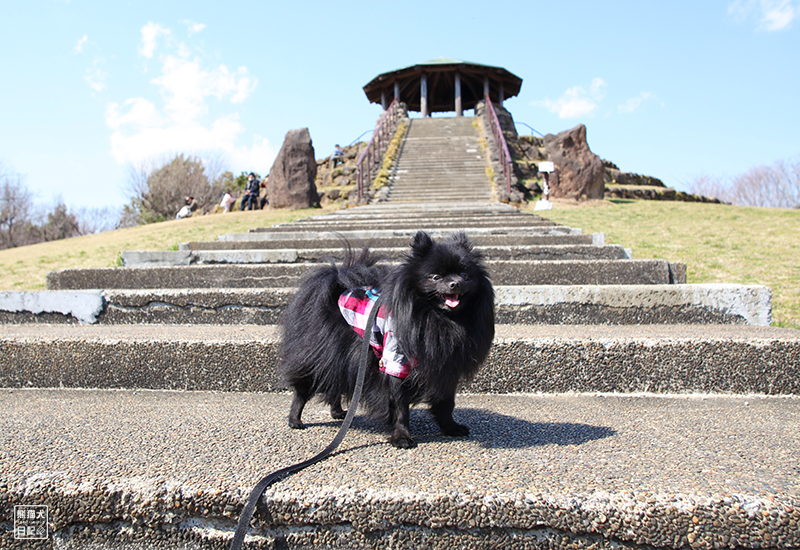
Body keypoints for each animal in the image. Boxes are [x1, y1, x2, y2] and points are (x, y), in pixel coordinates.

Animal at [280, 231, 494, 450]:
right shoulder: (396, 362)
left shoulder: (447, 367)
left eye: (465, 275)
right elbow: (400, 406)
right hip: (321, 356)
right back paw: (295, 419)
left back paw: (338, 412)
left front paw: (450, 427)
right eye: (436, 277)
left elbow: (446, 402)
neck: (440, 319)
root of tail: (338, 289)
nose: (455, 283)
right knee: (303, 389)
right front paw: (402, 436)